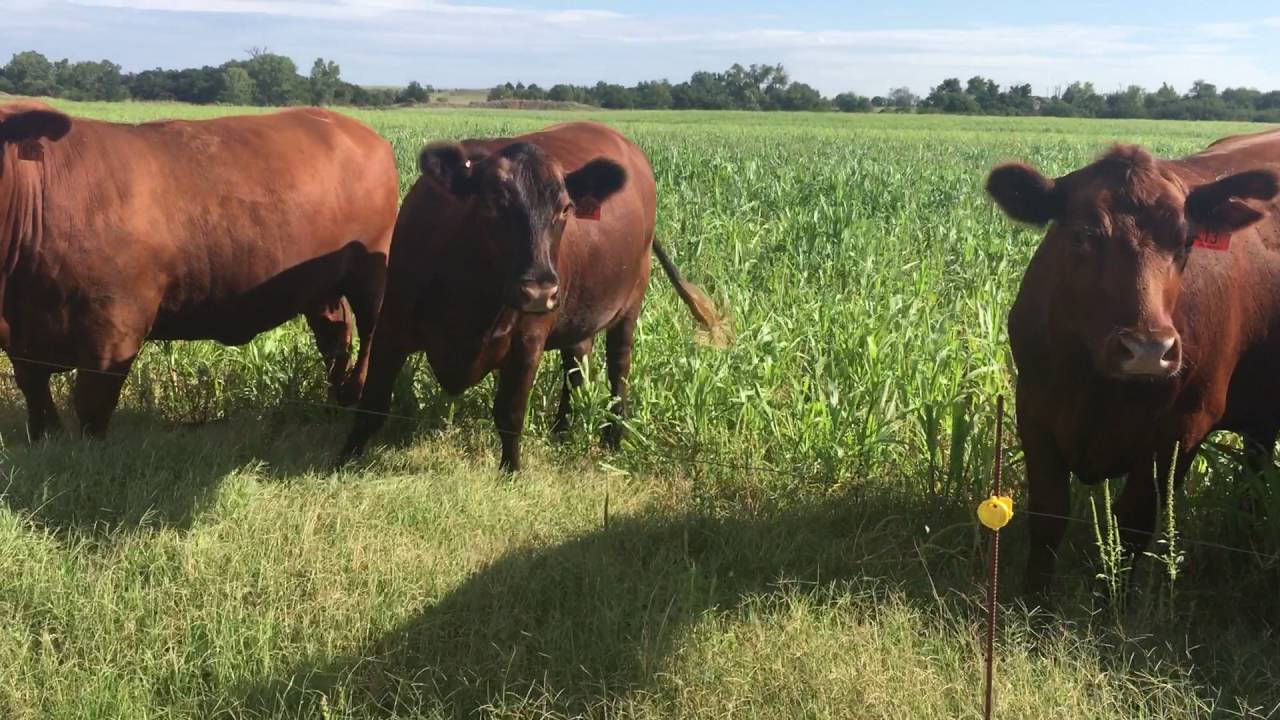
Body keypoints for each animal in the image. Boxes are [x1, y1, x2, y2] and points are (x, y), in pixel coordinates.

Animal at [0, 101, 398, 439]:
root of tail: (357, 130)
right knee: (335, 336)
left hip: (372, 271)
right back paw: (332, 404)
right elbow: (37, 398)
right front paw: (47, 439)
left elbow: (90, 407)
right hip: (320, 285)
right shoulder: (21, 339)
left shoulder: (114, 330)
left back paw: (356, 395)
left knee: (370, 332)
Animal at [339, 121, 726, 471]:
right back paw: (562, 430)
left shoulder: (528, 340)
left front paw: (510, 472)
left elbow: (510, 414)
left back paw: (613, 437)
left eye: (565, 208)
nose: (539, 290)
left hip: (630, 304)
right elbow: (372, 404)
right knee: (576, 365)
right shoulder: (392, 324)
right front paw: (346, 458)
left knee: (619, 367)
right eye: (491, 204)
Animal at [987, 128, 1280, 597]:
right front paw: (1033, 599)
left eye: (1186, 241)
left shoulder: (1182, 428)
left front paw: (1112, 603)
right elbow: (1048, 513)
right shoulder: (1032, 407)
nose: (1148, 349)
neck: (1095, 384)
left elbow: (1133, 525)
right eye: (1082, 236)